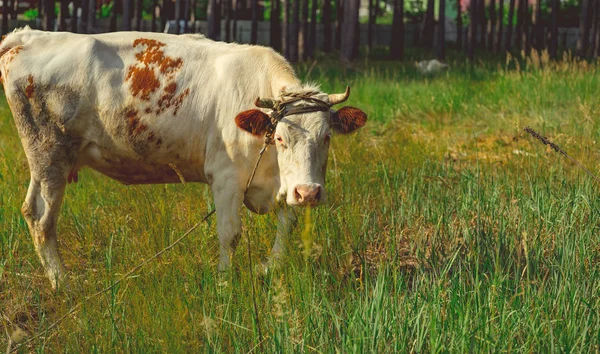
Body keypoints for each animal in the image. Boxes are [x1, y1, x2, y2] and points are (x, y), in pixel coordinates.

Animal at [0, 27, 368, 288]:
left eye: (327, 137)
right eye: (279, 138)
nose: (309, 193)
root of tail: (25, 36)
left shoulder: (282, 185)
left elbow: (286, 226)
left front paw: (266, 269)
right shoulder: (226, 178)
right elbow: (230, 233)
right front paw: (224, 283)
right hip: (49, 154)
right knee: (41, 218)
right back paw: (62, 283)